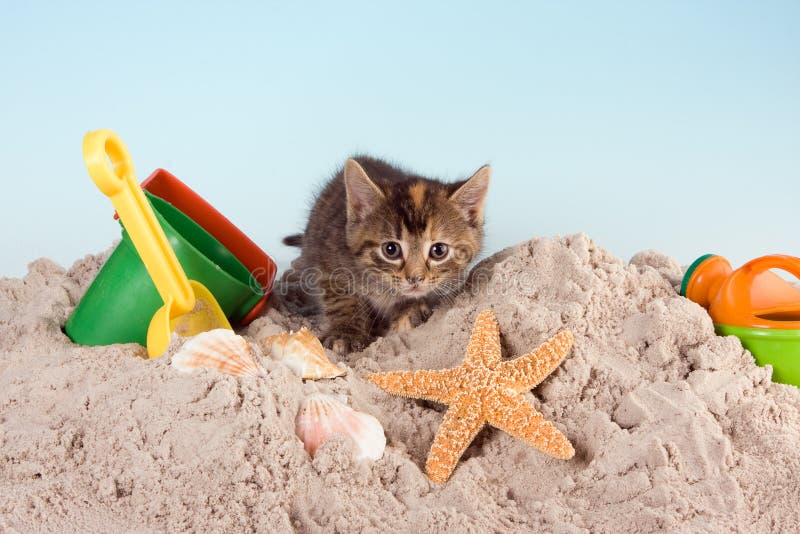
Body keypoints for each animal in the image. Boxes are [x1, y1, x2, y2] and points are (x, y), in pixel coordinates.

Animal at [284, 157, 490, 354]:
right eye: (391, 250)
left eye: (439, 250)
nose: (415, 278)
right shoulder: (328, 260)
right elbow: (341, 299)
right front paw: (345, 332)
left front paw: (411, 312)